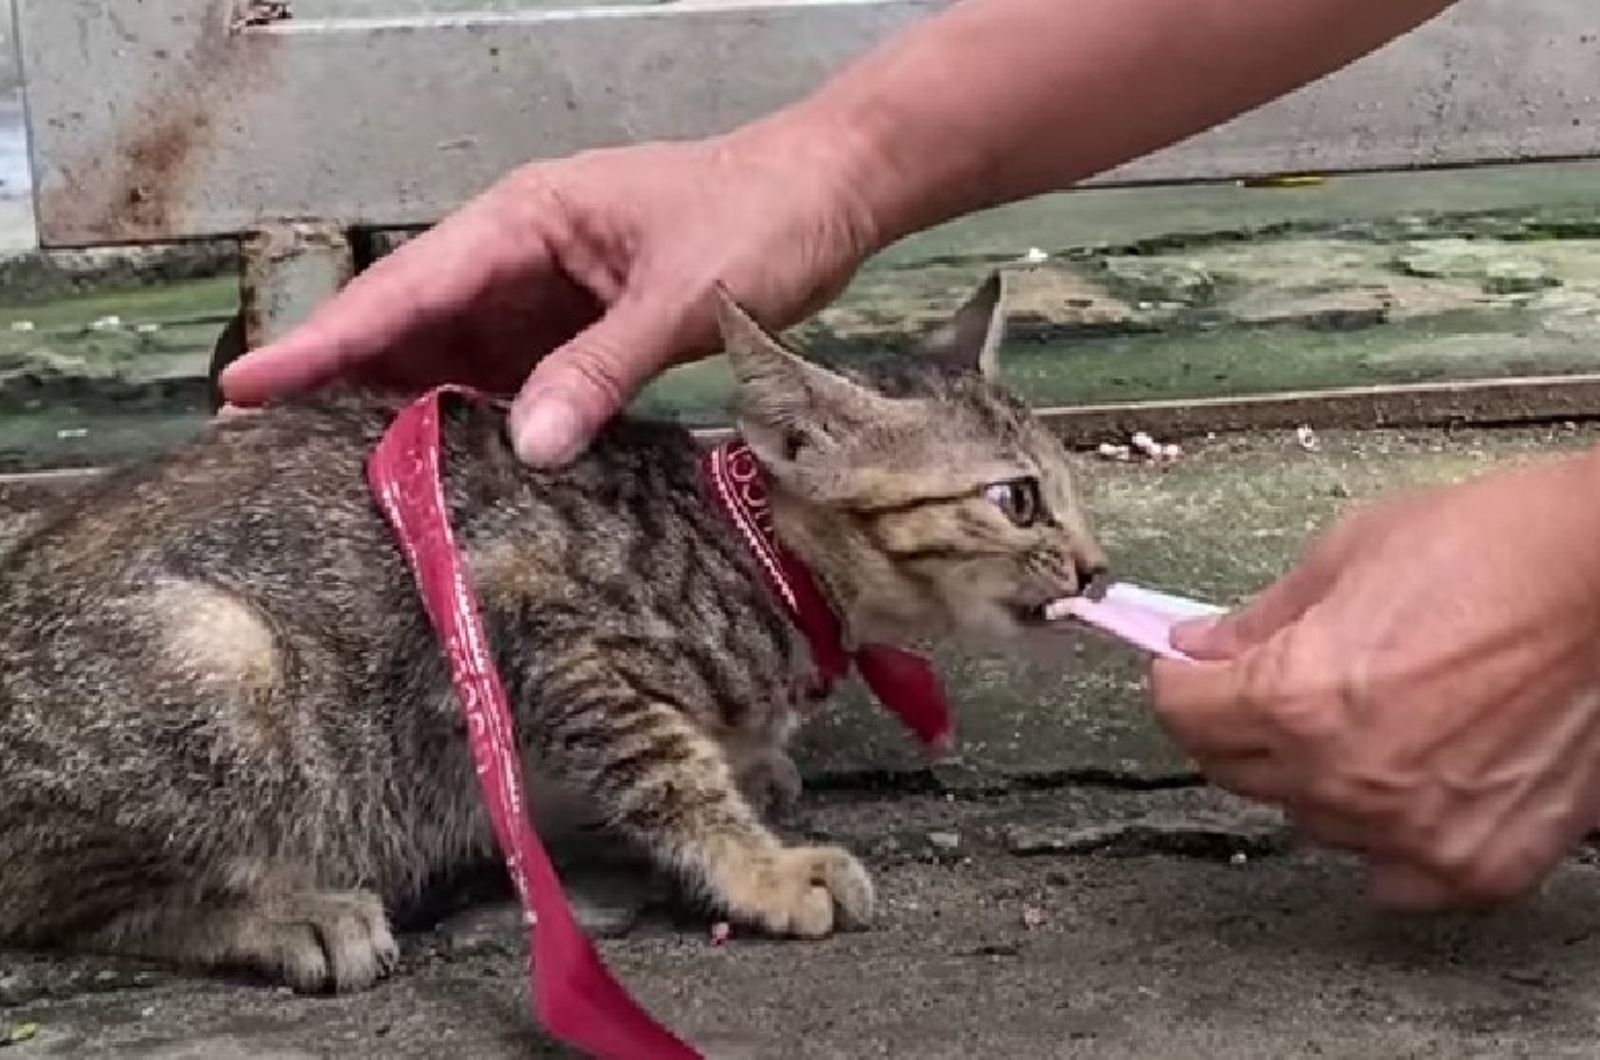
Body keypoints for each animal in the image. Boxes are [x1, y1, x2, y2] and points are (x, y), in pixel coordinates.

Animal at [0, 273, 1107, 999]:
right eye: (1017, 500)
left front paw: (759, 774)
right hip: (221, 652)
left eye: (1072, 489)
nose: (1098, 568)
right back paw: (288, 913)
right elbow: (668, 773)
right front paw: (764, 869)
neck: (763, 557)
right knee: (61, 898)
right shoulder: (545, 631)